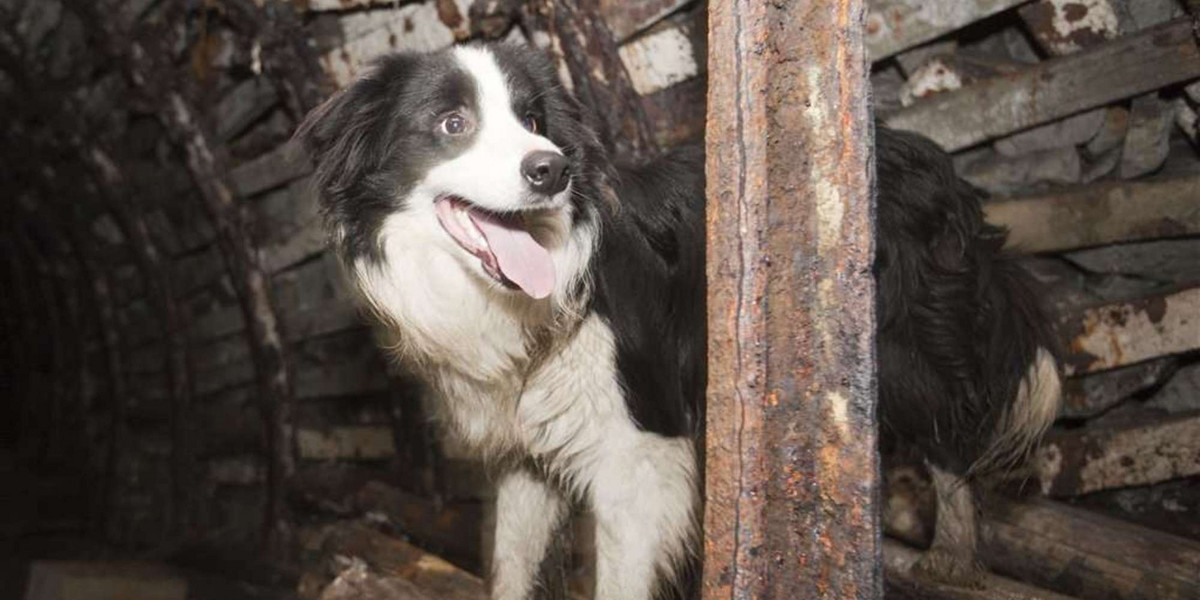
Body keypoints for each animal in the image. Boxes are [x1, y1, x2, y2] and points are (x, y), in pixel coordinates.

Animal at [297, 39, 1060, 597]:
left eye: (534, 121)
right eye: (452, 125)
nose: (552, 170)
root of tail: (932, 156)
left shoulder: (641, 456)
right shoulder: (524, 453)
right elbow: (511, 569)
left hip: (903, 345)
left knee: (949, 436)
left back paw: (952, 554)